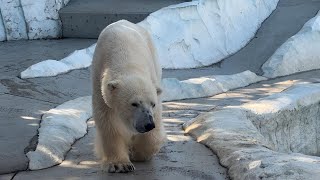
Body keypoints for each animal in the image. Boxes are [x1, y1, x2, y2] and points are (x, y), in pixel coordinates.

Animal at [90, 19, 165, 173]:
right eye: (134, 103)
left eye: (152, 104)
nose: (148, 124)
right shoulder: (100, 86)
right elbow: (109, 122)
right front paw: (120, 164)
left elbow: (156, 120)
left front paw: (138, 152)